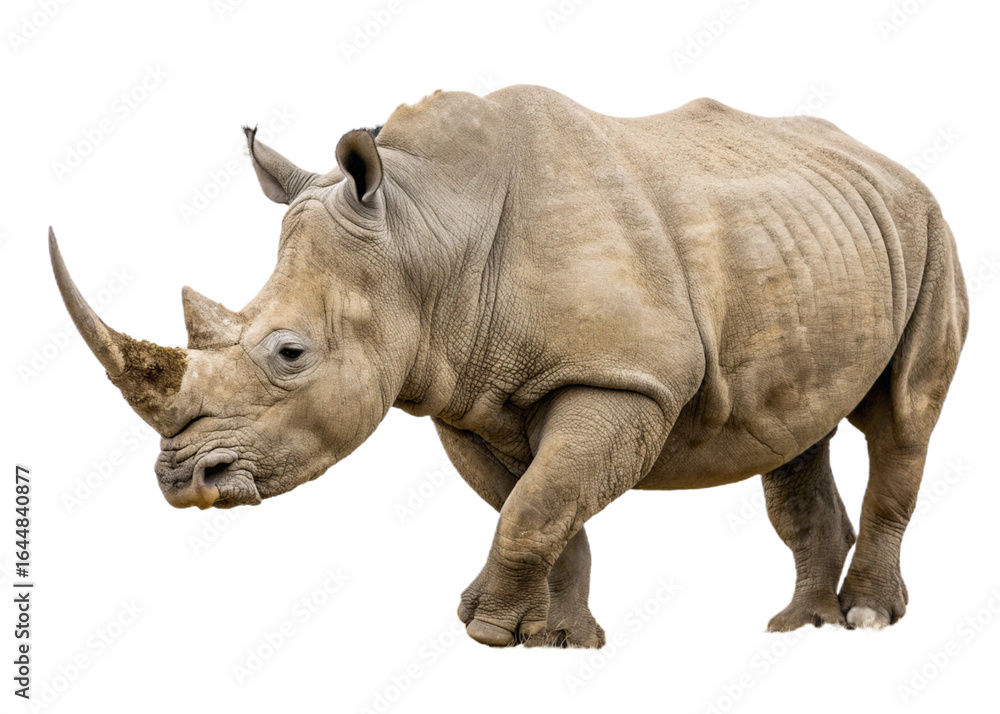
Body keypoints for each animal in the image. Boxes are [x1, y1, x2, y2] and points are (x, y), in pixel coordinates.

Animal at [50, 85, 968, 648]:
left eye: (289, 353)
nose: (182, 481)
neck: (422, 236)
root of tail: (891, 164)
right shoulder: (461, 392)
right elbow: (539, 505)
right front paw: (556, 640)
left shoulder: (626, 376)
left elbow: (539, 503)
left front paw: (488, 632)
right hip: (815, 238)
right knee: (792, 433)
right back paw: (798, 628)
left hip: (929, 227)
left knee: (902, 418)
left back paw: (867, 620)